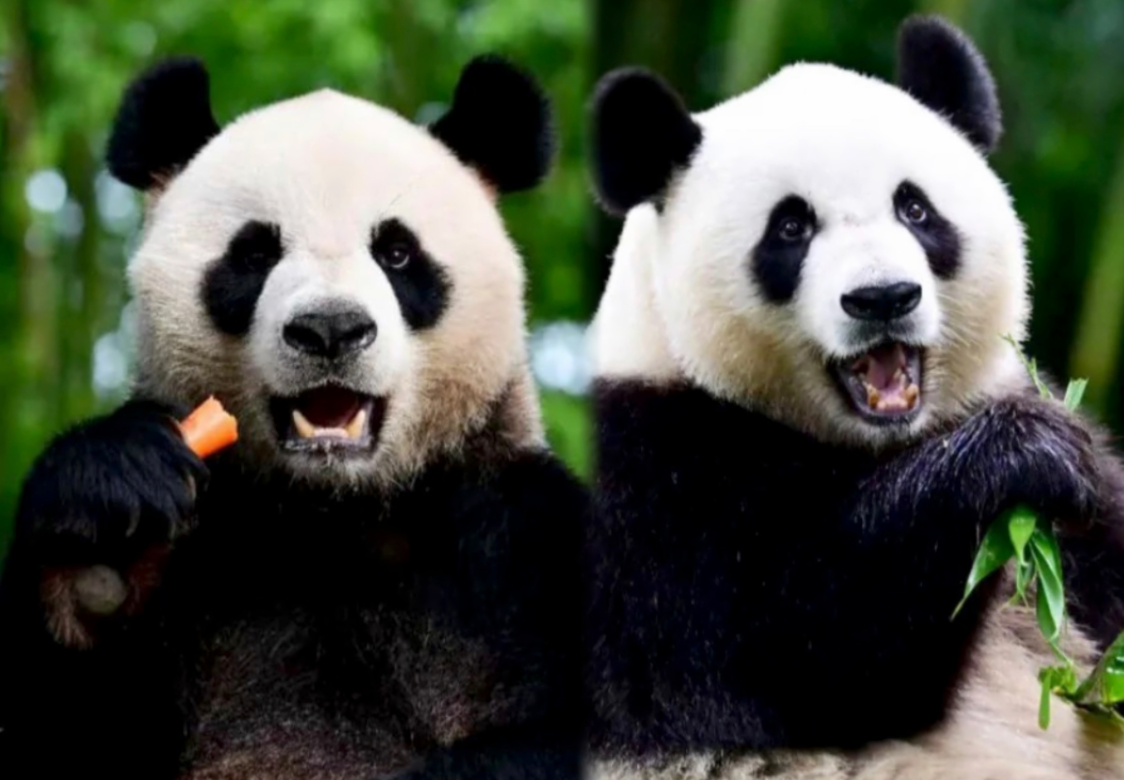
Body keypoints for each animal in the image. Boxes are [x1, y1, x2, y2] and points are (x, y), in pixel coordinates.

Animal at [0, 54, 589, 780]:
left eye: (397, 252)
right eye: (255, 253)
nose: (330, 329)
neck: (333, 512)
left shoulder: (522, 539)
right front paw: (102, 535)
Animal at [581, 14, 1124, 780]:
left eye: (915, 207)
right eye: (791, 227)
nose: (883, 297)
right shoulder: (652, 489)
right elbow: (802, 650)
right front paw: (1023, 454)